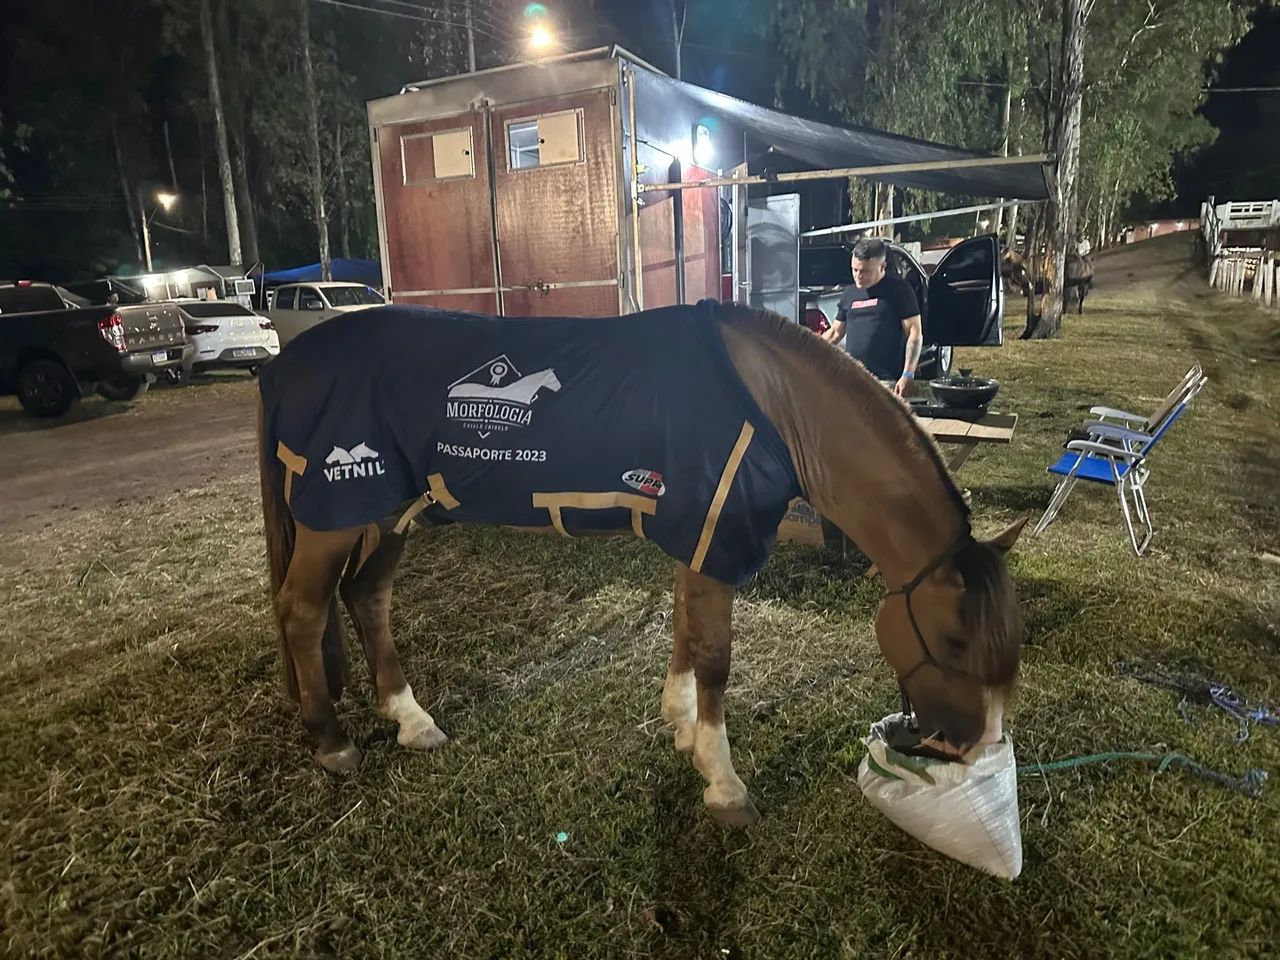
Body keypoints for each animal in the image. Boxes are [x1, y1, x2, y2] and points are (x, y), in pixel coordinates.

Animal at [257, 301, 1027, 827]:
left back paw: (409, 719)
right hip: (338, 511)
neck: (776, 408)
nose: (974, 746)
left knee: (367, 599)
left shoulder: (696, 537)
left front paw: (680, 725)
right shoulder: (717, 537)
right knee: (303, 610)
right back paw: (331, 740)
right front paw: (723, 782)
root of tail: (286, 362)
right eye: (955, 638)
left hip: (390, 510)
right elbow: (714, 656)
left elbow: (685, 633)